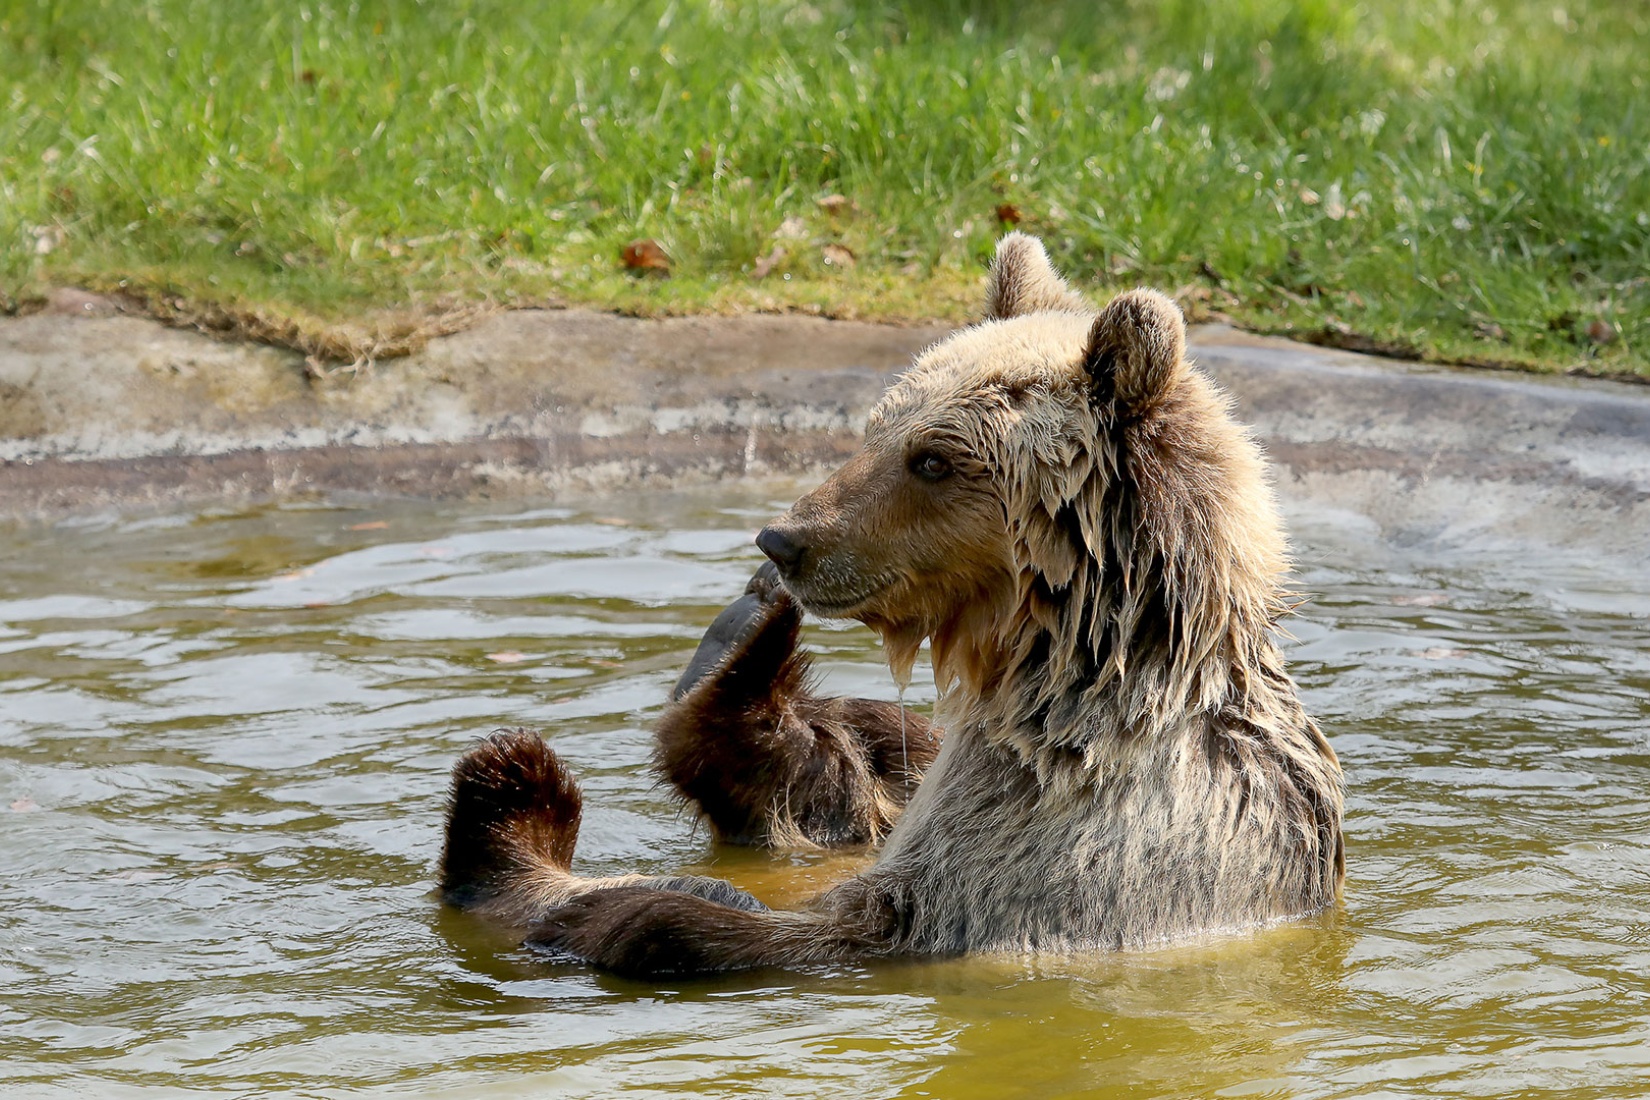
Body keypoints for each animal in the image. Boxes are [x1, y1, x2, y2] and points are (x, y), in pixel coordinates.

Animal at [435, 234, 1339, 982]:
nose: (784, 541)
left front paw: (618, 901)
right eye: (876, 426)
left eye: (932, 459)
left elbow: (838, 922)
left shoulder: (1085, 848)